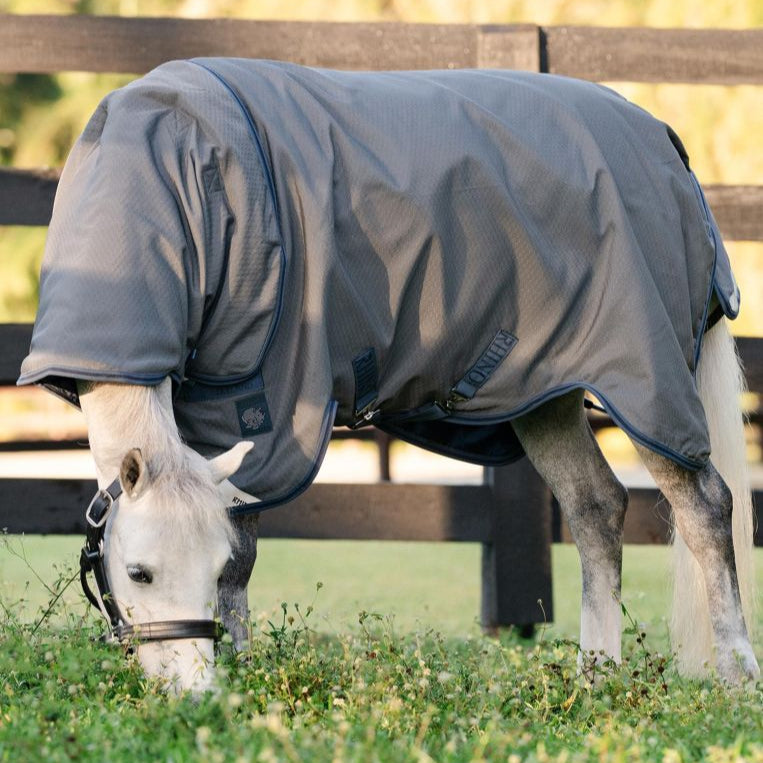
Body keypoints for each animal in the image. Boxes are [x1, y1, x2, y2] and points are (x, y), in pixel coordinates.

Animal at [19, 59, 759, 692]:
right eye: (138, 572)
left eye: (197, 566)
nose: (193, 692)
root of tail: (664, 143)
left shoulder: (260, 398)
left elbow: (244, 549)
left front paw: (246, 669)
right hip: (544, 389)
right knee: (595, 508)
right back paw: (595, 675)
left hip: (644, 376)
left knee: (705, 505)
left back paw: (733, 673)